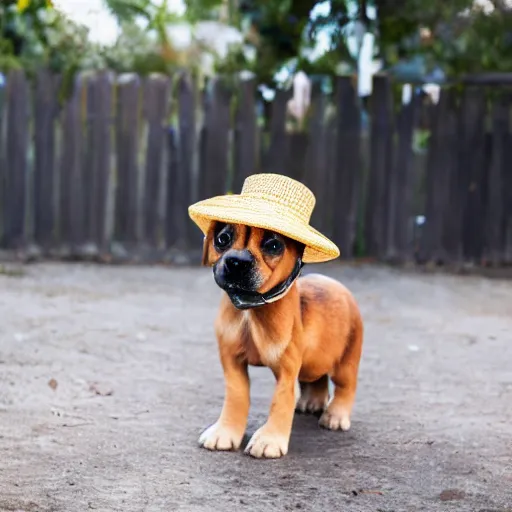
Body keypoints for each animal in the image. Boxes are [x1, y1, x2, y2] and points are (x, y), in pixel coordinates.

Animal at [199, 222, 364, 458]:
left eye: (274, 245)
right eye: (222, 239)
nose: (237, 261)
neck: (251, 311)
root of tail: (338, 286)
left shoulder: (286, 371)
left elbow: (280, 401)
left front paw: (269, 440)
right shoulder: (232, 362)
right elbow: (236, 396)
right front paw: (225, 432)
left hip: (345, 362)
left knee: (346, 387)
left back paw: (336, 416)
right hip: (315, 361)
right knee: (316, 377)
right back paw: (312, 402)